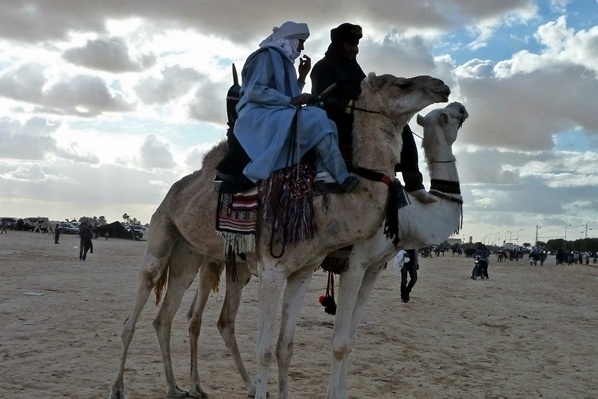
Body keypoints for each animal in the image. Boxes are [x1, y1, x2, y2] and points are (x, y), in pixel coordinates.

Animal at [108, 72, 450, 399]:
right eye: (402, 84)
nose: (441, 86)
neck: (320, 205)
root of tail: (176, 189)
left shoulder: (303, 272)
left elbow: (286, 346)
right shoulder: (274, 269)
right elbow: (264, 350)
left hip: (191, 254)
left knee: (165, 316)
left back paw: (176, 387)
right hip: (162, 228)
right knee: (138, 304)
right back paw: (118, 388)